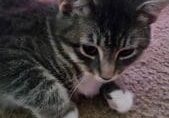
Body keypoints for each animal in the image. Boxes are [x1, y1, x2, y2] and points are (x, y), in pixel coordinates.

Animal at [0, 0, 168, 117]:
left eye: (126, 52)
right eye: (89, 49)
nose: (106, 76)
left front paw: (118, 91)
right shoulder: (11, 53)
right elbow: (34, 81)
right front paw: (66, 112)